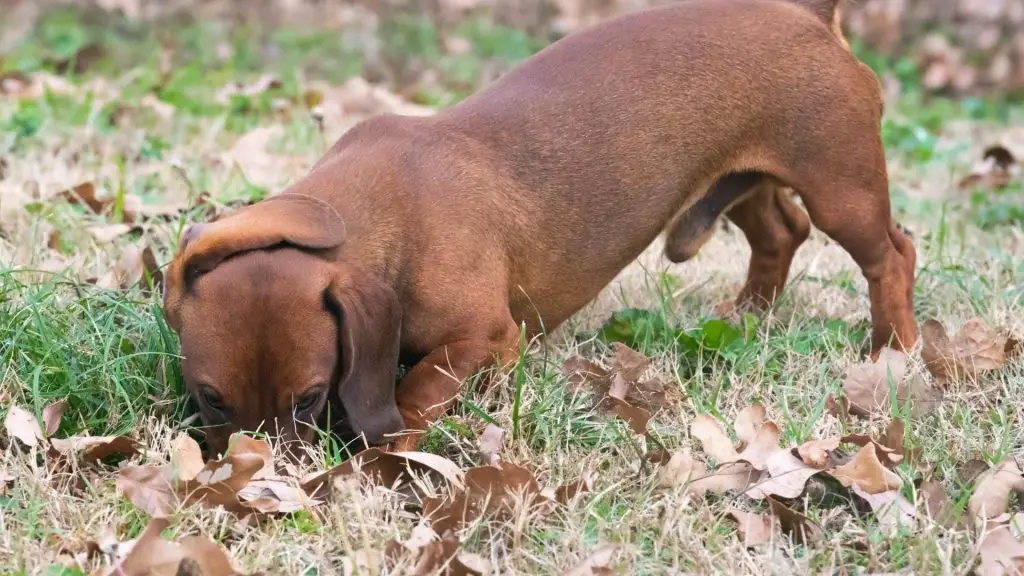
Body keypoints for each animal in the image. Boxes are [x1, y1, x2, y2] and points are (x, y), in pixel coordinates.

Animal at [161, 0, 921, 457]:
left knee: (893, 255)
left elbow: (416, 390)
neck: (379, 211)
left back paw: (896, 350)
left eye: (312, 397)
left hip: (841, 188)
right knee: (781, 234)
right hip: (736, 183)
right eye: (210, 398)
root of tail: (804, 14)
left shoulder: (483, 338)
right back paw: (750, 316)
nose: (258, 483)